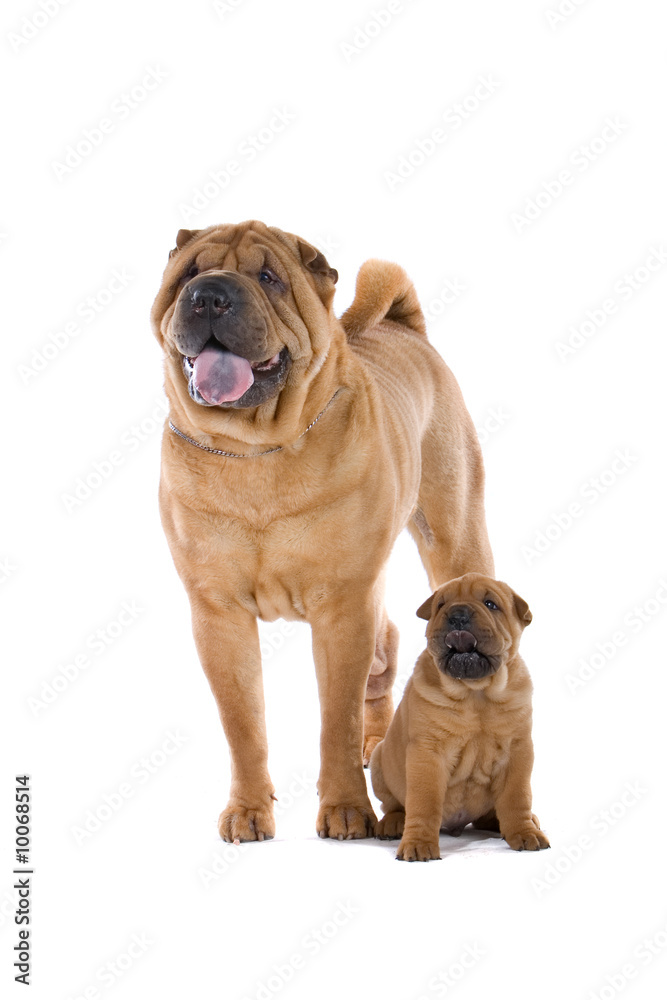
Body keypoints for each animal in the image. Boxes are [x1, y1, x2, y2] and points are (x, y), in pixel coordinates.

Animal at [153, 221, 496, 844]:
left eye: (269, 278)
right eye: (190, 272)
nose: (211, 294)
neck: (254, 451)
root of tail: (403, 326)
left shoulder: (342, 608)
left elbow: (336, 717)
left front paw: (347, 811)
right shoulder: (219, 614)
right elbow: (243, 723)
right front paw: (247, 811)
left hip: (455, 535)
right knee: (386, 651)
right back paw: (379, 742)